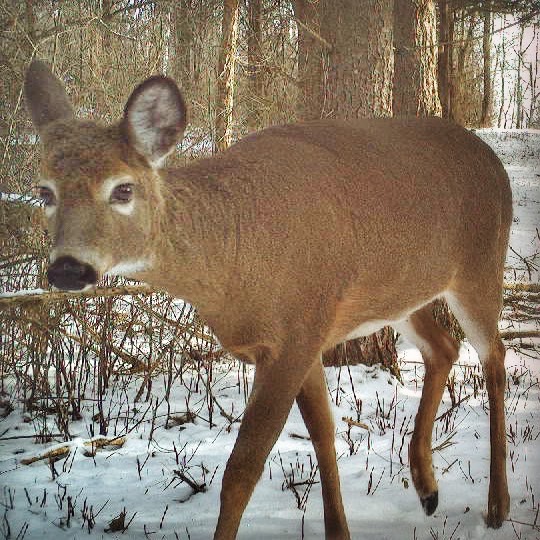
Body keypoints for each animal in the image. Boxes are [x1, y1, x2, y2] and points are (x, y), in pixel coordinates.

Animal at [25, 60, 512, 540]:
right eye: (44, 191)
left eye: (123, 189)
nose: (68, 268)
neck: (234, 255)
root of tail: (491, 157)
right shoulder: (303, 336)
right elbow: (322, 430)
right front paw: (338, 530)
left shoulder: (294, 337)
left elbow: (243, 468)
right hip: (403, 292)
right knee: (443, 347)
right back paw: (428, 489)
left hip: (480, 266)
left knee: (495, 358)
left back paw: (497, 505)